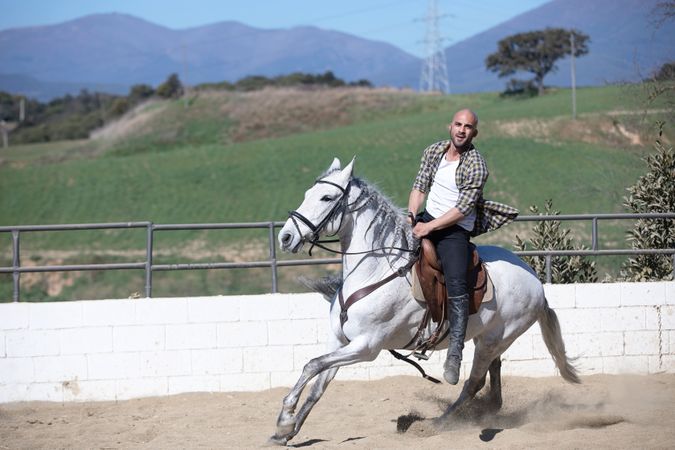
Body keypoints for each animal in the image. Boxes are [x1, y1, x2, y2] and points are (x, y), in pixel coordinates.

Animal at [272, 157, 580, 442]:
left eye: (326, 197)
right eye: (307, 194)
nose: (285, 237)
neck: (375, 270)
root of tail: (536, 284)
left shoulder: (366, 347)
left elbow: (312, 365)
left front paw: (285, 418)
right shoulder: (339, 341)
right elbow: (318, 383)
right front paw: (288, 431)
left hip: (496, 339)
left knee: (473, 383)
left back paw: (435, 424)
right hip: (488, 338)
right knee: (493, 375)